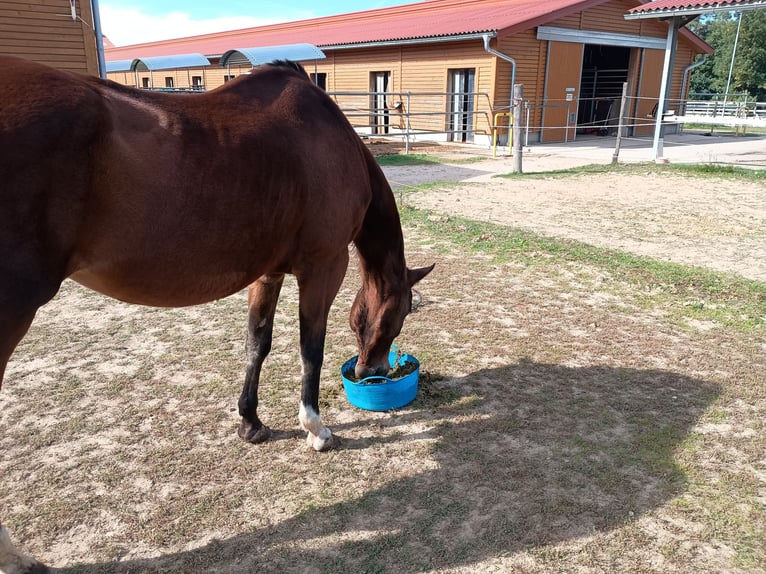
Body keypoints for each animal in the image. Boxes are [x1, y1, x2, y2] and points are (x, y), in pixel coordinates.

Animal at [0, 56, 432, 574]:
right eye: (401, 315)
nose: (372, 372)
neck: (326, 137)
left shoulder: (268, 271)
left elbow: (257, 342)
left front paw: (251, 423)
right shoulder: (323, 265)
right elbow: (310, 349)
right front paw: (316, 430)